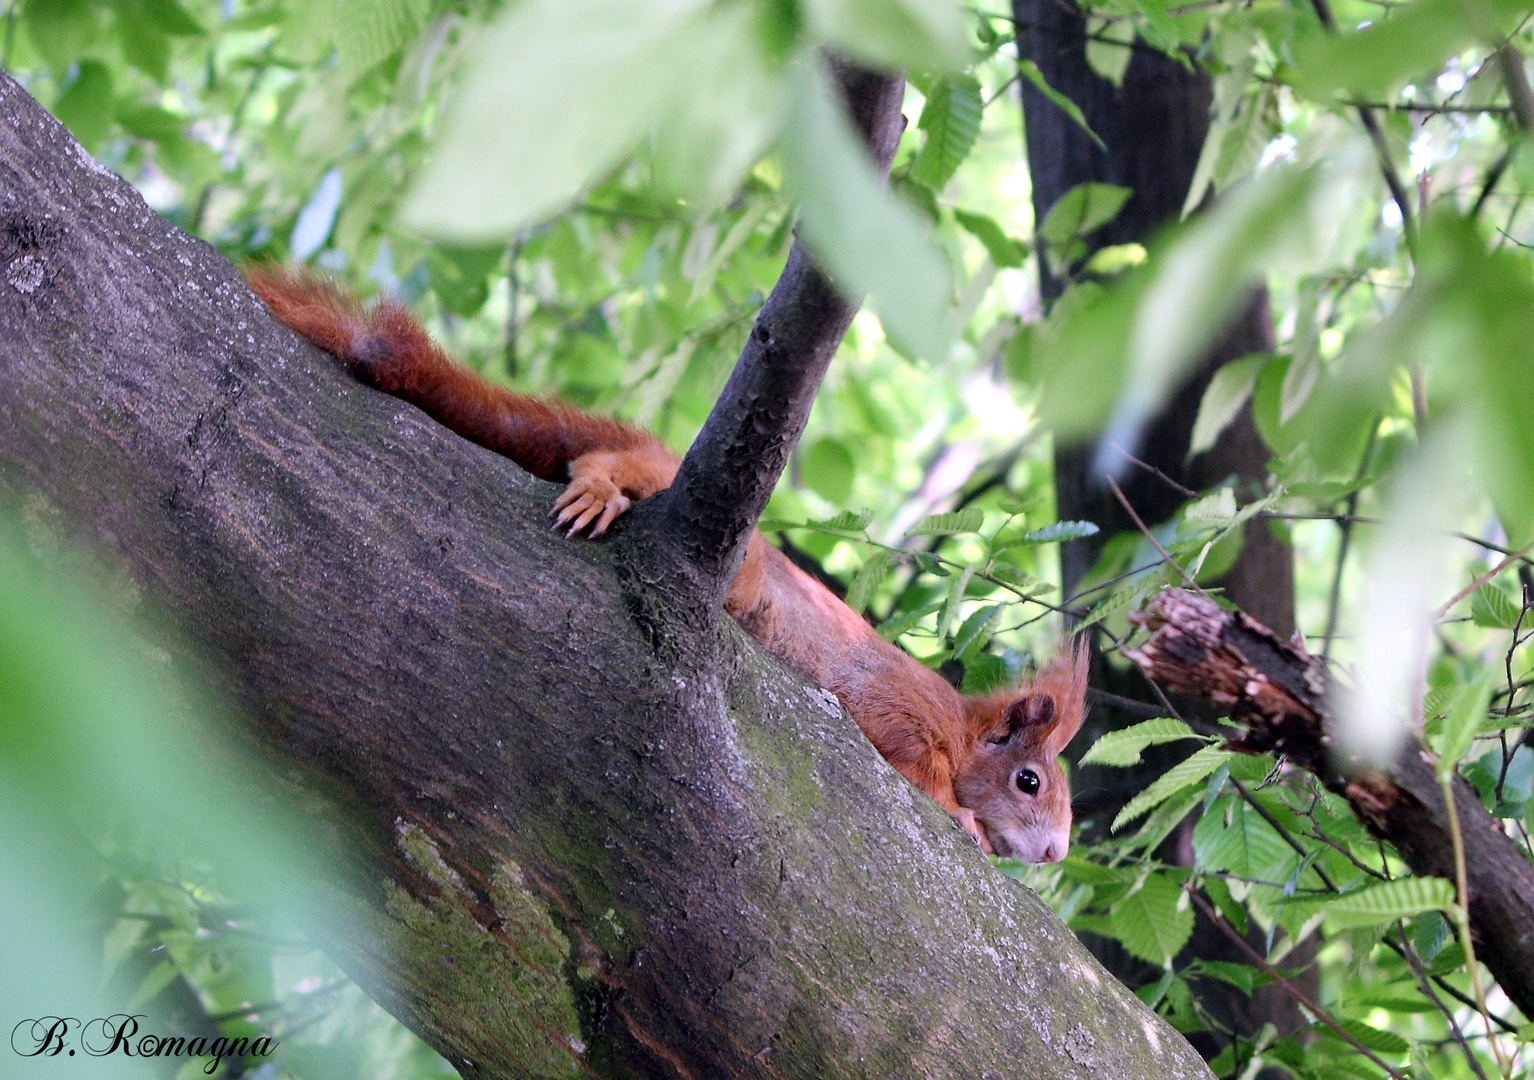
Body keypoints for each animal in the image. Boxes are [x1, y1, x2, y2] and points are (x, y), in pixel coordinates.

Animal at [251, 265, 1086, 865]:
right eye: (1030, 781)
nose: (1052, 855)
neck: (965, 726)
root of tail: (659, 452)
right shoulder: (900, 707)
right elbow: (913, 758)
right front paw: (959, 813)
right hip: (726, 552)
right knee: (607, 463)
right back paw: (597, 487)